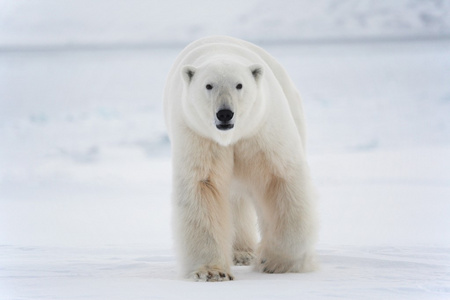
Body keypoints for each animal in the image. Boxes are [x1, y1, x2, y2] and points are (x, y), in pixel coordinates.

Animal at [163, 35, 318, 282]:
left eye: (239, 85)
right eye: (208, 85)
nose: (225, 113)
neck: (231, 137)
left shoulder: (261, 130)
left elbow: (279, 179)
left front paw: (277, 262)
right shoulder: (198, 135)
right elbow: (204, 186)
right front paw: (211, 272)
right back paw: (241, 252)